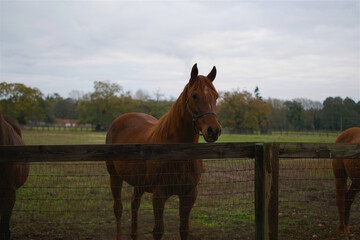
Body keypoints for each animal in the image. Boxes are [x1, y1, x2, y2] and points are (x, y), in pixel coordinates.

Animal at [105, 63, 221, 240]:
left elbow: (184, 230)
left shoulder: (188, 194)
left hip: (139, 183)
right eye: (194, 96)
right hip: (115, 177)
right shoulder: (159, 195)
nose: (213, 130)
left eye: (216, 97)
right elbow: (158, 231)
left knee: (134, 204)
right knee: (118, 208)